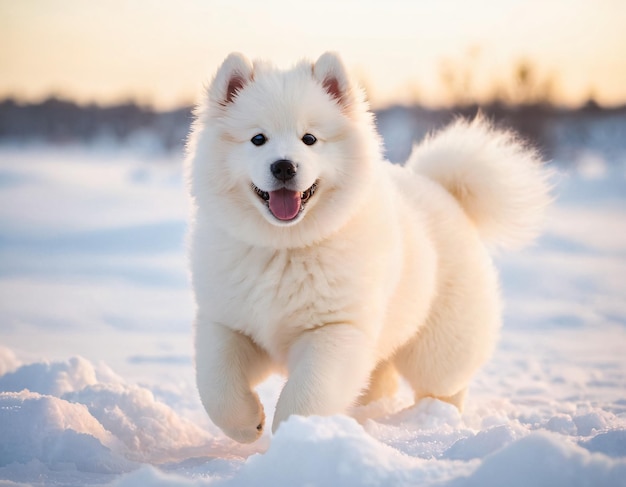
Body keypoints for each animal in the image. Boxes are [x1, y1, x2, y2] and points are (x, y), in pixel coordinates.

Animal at [186, 51, 552, 444]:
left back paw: (435, 416)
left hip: (439, 344)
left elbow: (308, 392)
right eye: (258, 138)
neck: (285, 247)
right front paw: (246, 423)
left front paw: (296, 433)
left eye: (310, 138)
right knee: (381, 376)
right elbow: (215, 384)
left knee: (445, 382)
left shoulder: (337, 329)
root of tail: (444, 191)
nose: (283, 166)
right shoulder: (228, 321)